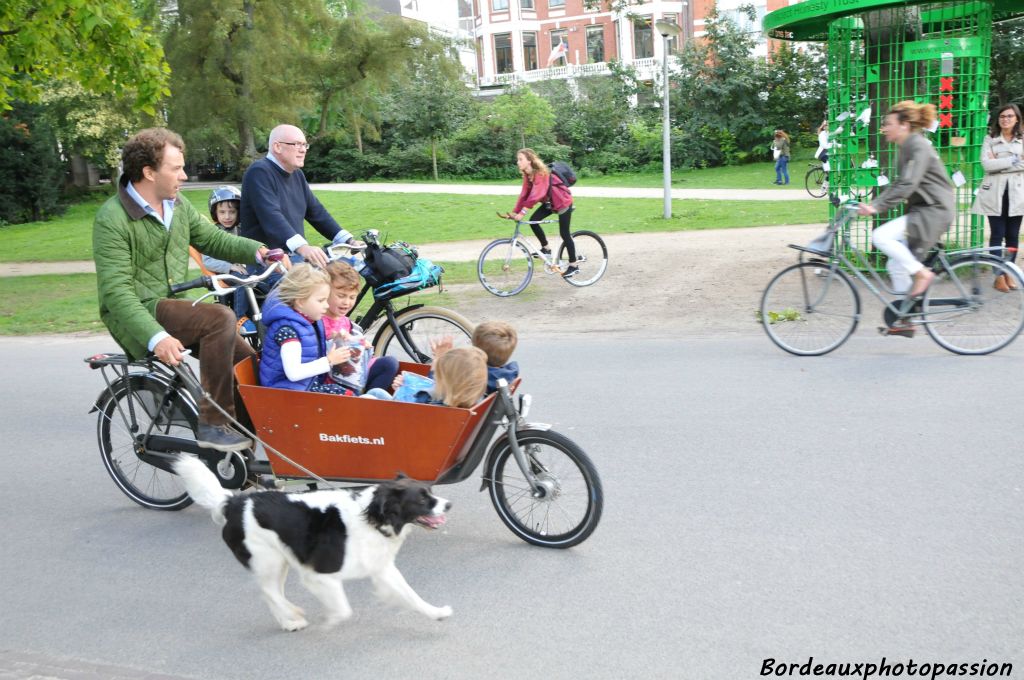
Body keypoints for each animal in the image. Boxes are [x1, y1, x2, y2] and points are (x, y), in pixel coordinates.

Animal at [172, 454, 452, 630]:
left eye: (430, 492)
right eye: (422, 498)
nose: (449, 504)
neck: (373, 518)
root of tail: (233, 502)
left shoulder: (382, 569)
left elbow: (412, 595)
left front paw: (437, 613)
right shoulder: (318, 574)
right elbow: (343, 608)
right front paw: (330, 620)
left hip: (280, 560)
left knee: (271, 592)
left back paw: (289, 622)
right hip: (268, 560)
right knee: (268, 591)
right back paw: (294, 613)